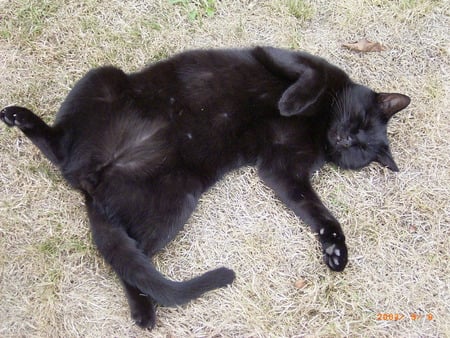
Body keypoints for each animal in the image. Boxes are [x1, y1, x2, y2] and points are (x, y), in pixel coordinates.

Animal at [0, 46, 410, 328]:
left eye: (361, 149)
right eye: (358, 121)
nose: (345, 139)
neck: (320, 126)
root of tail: (91, 177)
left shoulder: (284, 172)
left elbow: (321, 214)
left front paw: (335, 249)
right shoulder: (283, 56)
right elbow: (314, 76)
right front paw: (290, 101)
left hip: (172, 199)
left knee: (127, 257)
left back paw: (144, 309)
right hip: (103, 78)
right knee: (59, 145)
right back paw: (18, 116)